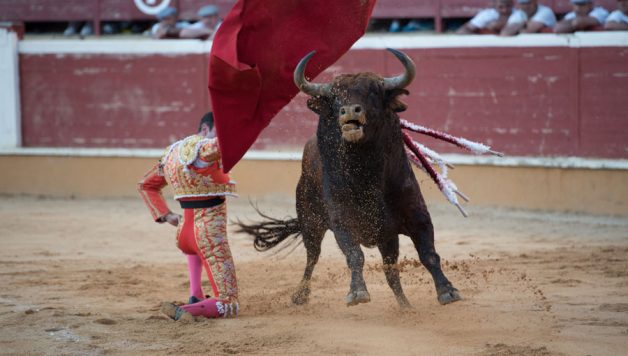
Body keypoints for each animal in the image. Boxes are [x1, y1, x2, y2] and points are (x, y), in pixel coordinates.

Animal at [236, 48, 462, 308]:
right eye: (335, 99)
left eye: (373, 92)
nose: (349, 111)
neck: (366, 175)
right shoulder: (343, 222)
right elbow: (355, 255)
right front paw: (357, 293)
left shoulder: (417, 217)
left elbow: (429, 254)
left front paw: (447, 291)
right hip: (310, 221)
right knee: (312, 257)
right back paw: (300, 295)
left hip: (386, 237)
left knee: (391, 271)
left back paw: (405, 306)